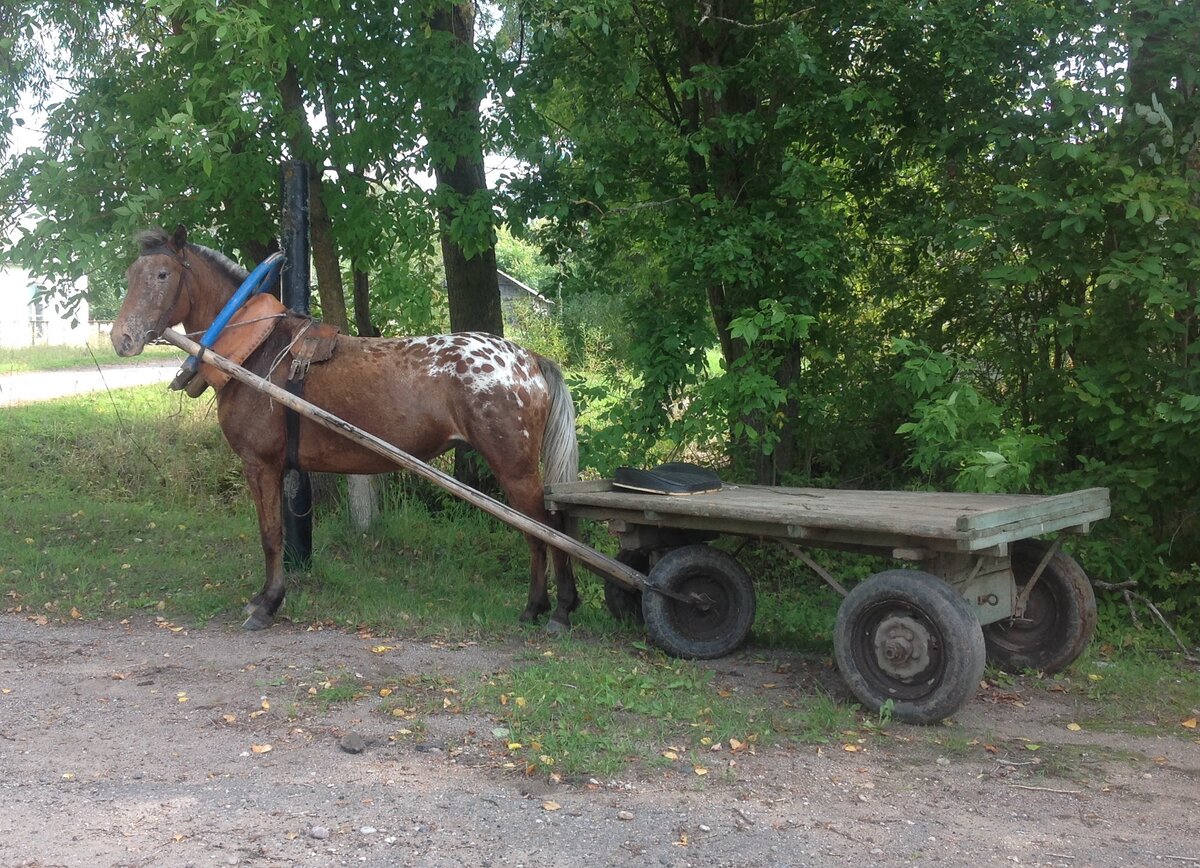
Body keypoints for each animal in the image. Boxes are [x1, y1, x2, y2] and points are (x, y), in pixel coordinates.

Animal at [112, 224, 580, 633]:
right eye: (131, 274)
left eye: (162, 274)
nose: (121, 338)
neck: (257, 351)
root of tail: (529, 359)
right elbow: (272, 532)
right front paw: (265, 598)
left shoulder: (260, 464)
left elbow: (271, 534)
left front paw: (268, 604)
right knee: (540, 530)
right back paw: (541, 607)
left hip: (515, 467)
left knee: (548, 530)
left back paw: (556, 610)